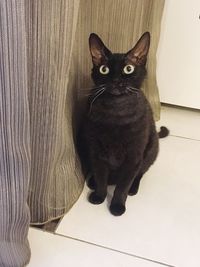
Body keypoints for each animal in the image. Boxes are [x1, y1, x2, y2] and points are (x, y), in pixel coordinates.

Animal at [77, 31, 168, 217]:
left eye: (128, 69)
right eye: (104, 69)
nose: (116, 80)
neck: (115, 111)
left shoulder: (133, 157)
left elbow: (122, 186)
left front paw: (117, 206)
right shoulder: (96, 152)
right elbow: (101, 176)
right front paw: (99, 196)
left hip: (151, 151)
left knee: (140, 173)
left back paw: (133, 188)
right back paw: (92, 182)